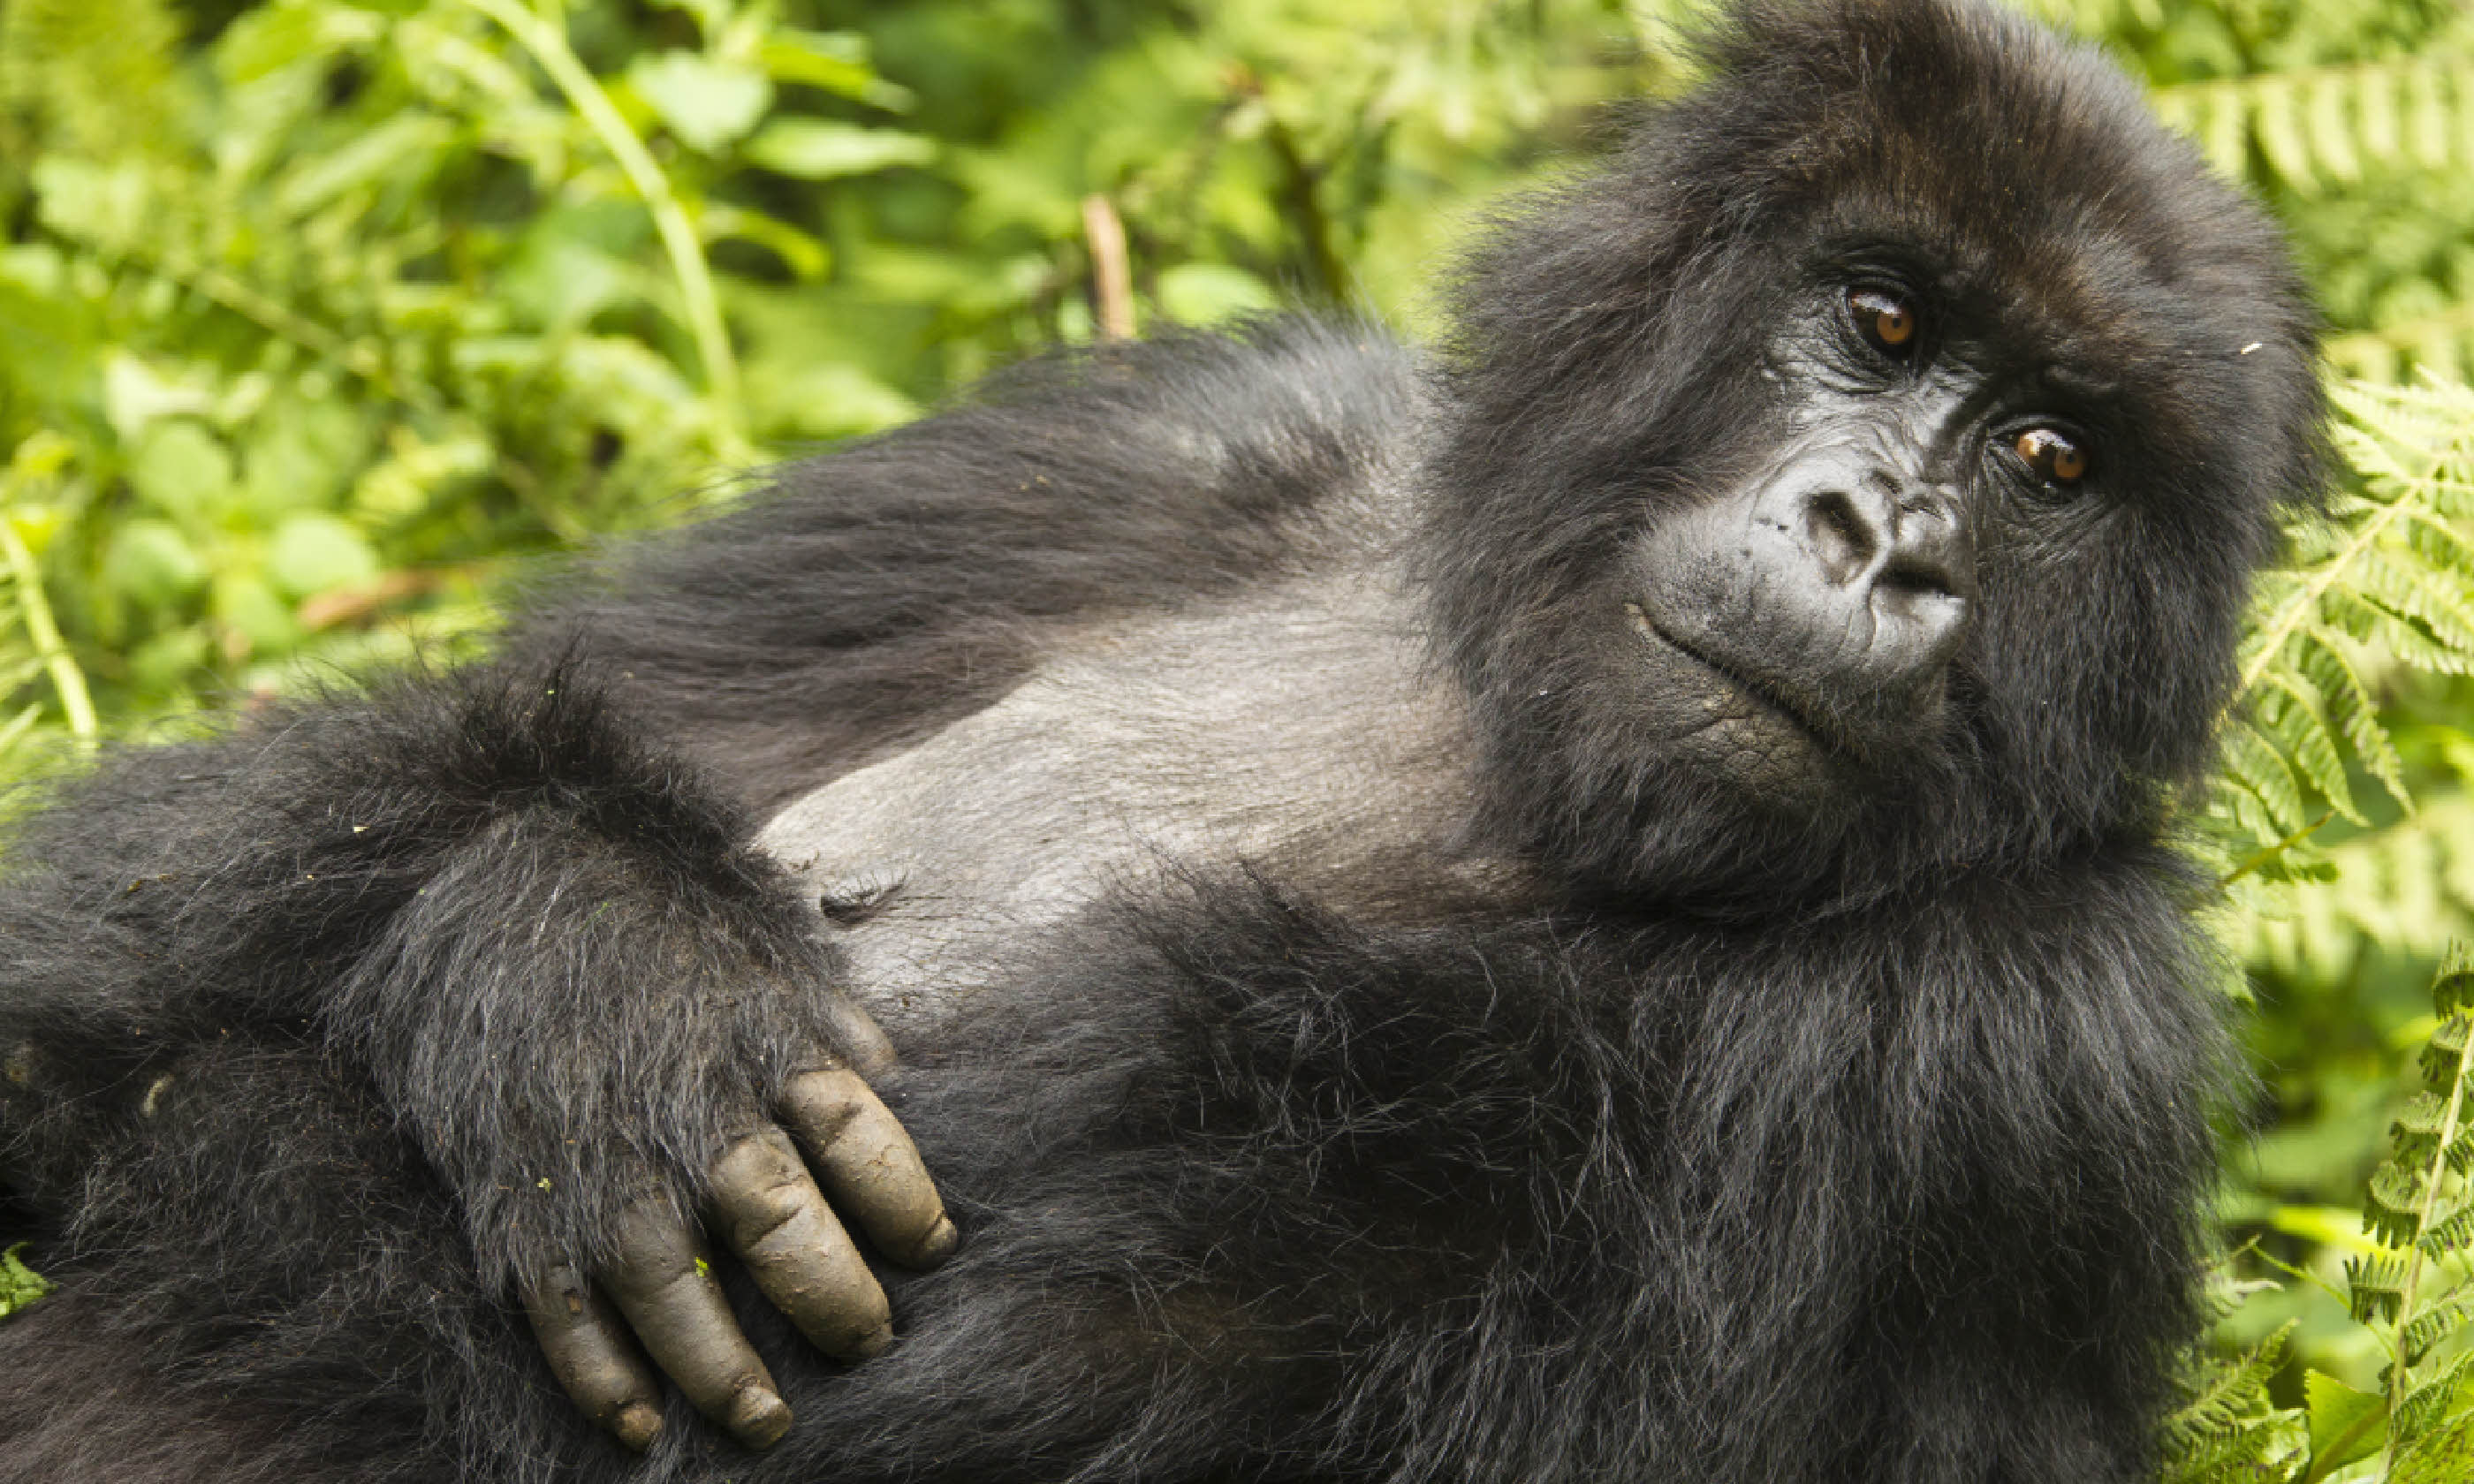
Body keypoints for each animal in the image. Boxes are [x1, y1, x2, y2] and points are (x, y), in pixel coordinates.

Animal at [0, 0, 2315, 1473]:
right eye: (1881, 318)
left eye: (2049, 461)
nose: (1882, 547)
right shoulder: (1165, 441)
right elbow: (85, 928)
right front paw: (580, 953)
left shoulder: (2037, 1038)